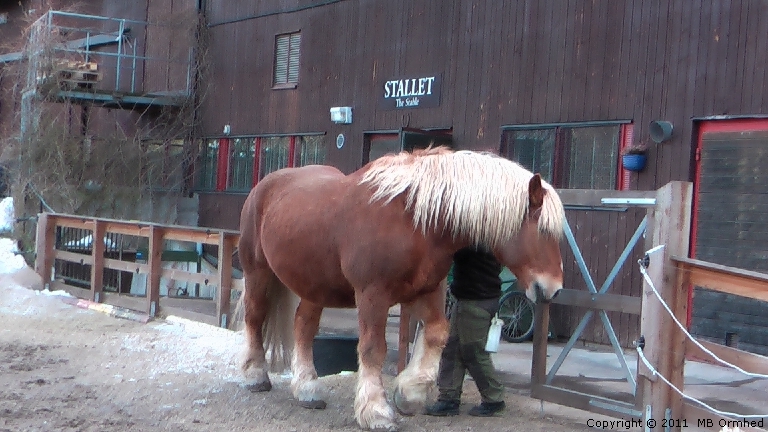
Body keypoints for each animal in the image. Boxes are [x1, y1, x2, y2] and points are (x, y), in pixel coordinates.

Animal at [237, 147, 568, 430]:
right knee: (254, 318)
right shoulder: (373, 295)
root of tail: (265, 185)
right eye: (542, 230)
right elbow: (373, 349)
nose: (553, 289)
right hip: (258, 273)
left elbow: (437, 334)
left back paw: (307, 388)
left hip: (315, 286)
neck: (413, 221)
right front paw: (376, 411)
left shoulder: (427, 291)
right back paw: (255, 375)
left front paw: (409, 394)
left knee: (303, 327)